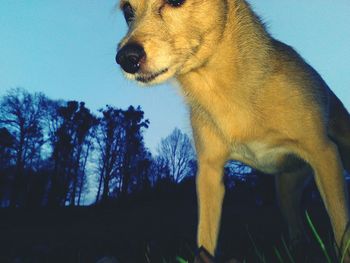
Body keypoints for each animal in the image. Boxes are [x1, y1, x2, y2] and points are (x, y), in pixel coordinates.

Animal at [116, 0, 350, 260]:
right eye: (127, 11)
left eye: (176, 2)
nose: (126, 58)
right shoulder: (209, 173)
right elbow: (204, 238)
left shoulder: (324, 153)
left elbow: (340, 224)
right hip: (286, 188)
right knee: (294, 222)